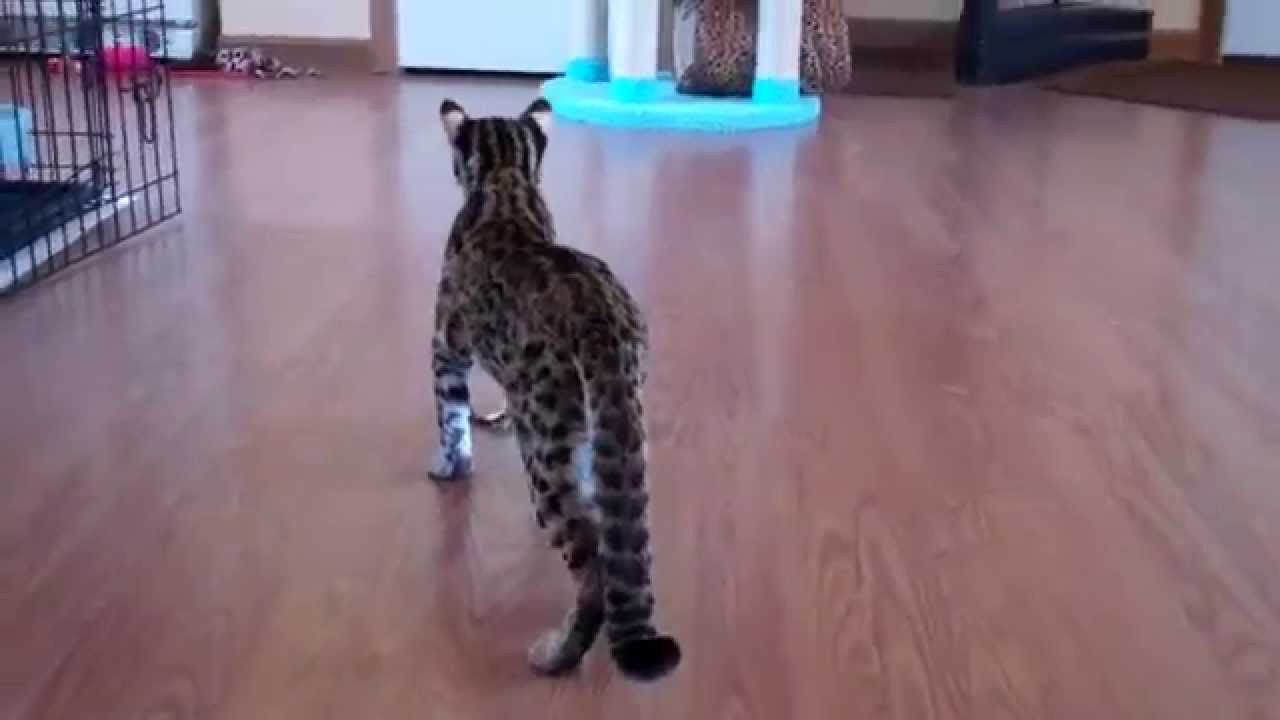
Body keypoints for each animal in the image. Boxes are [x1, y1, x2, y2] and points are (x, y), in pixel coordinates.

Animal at [427, 96, 682, 682]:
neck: (506, 181)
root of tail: (601, 327)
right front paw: (491, 419)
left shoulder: (445, 348)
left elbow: (450, 418)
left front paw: (449, 465)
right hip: (612, 426)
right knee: (612, 530)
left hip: (546, 448)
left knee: (591, 566)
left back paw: (556, 656)